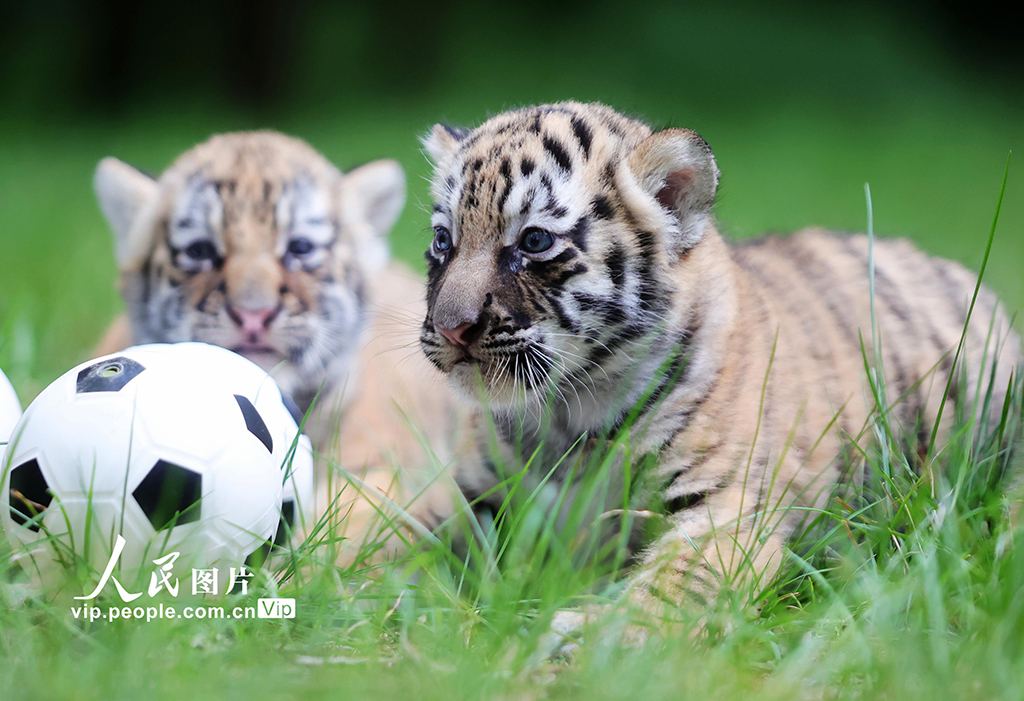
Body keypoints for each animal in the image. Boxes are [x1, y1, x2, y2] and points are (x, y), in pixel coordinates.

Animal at [418, 101, 1022, 634]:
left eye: (535, 240)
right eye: (443, 241)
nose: (451, 328)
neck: (569, 416)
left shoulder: (727, 506)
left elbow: (671, 584)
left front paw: (587, 640)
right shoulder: (474, 500)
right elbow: (410, 537)